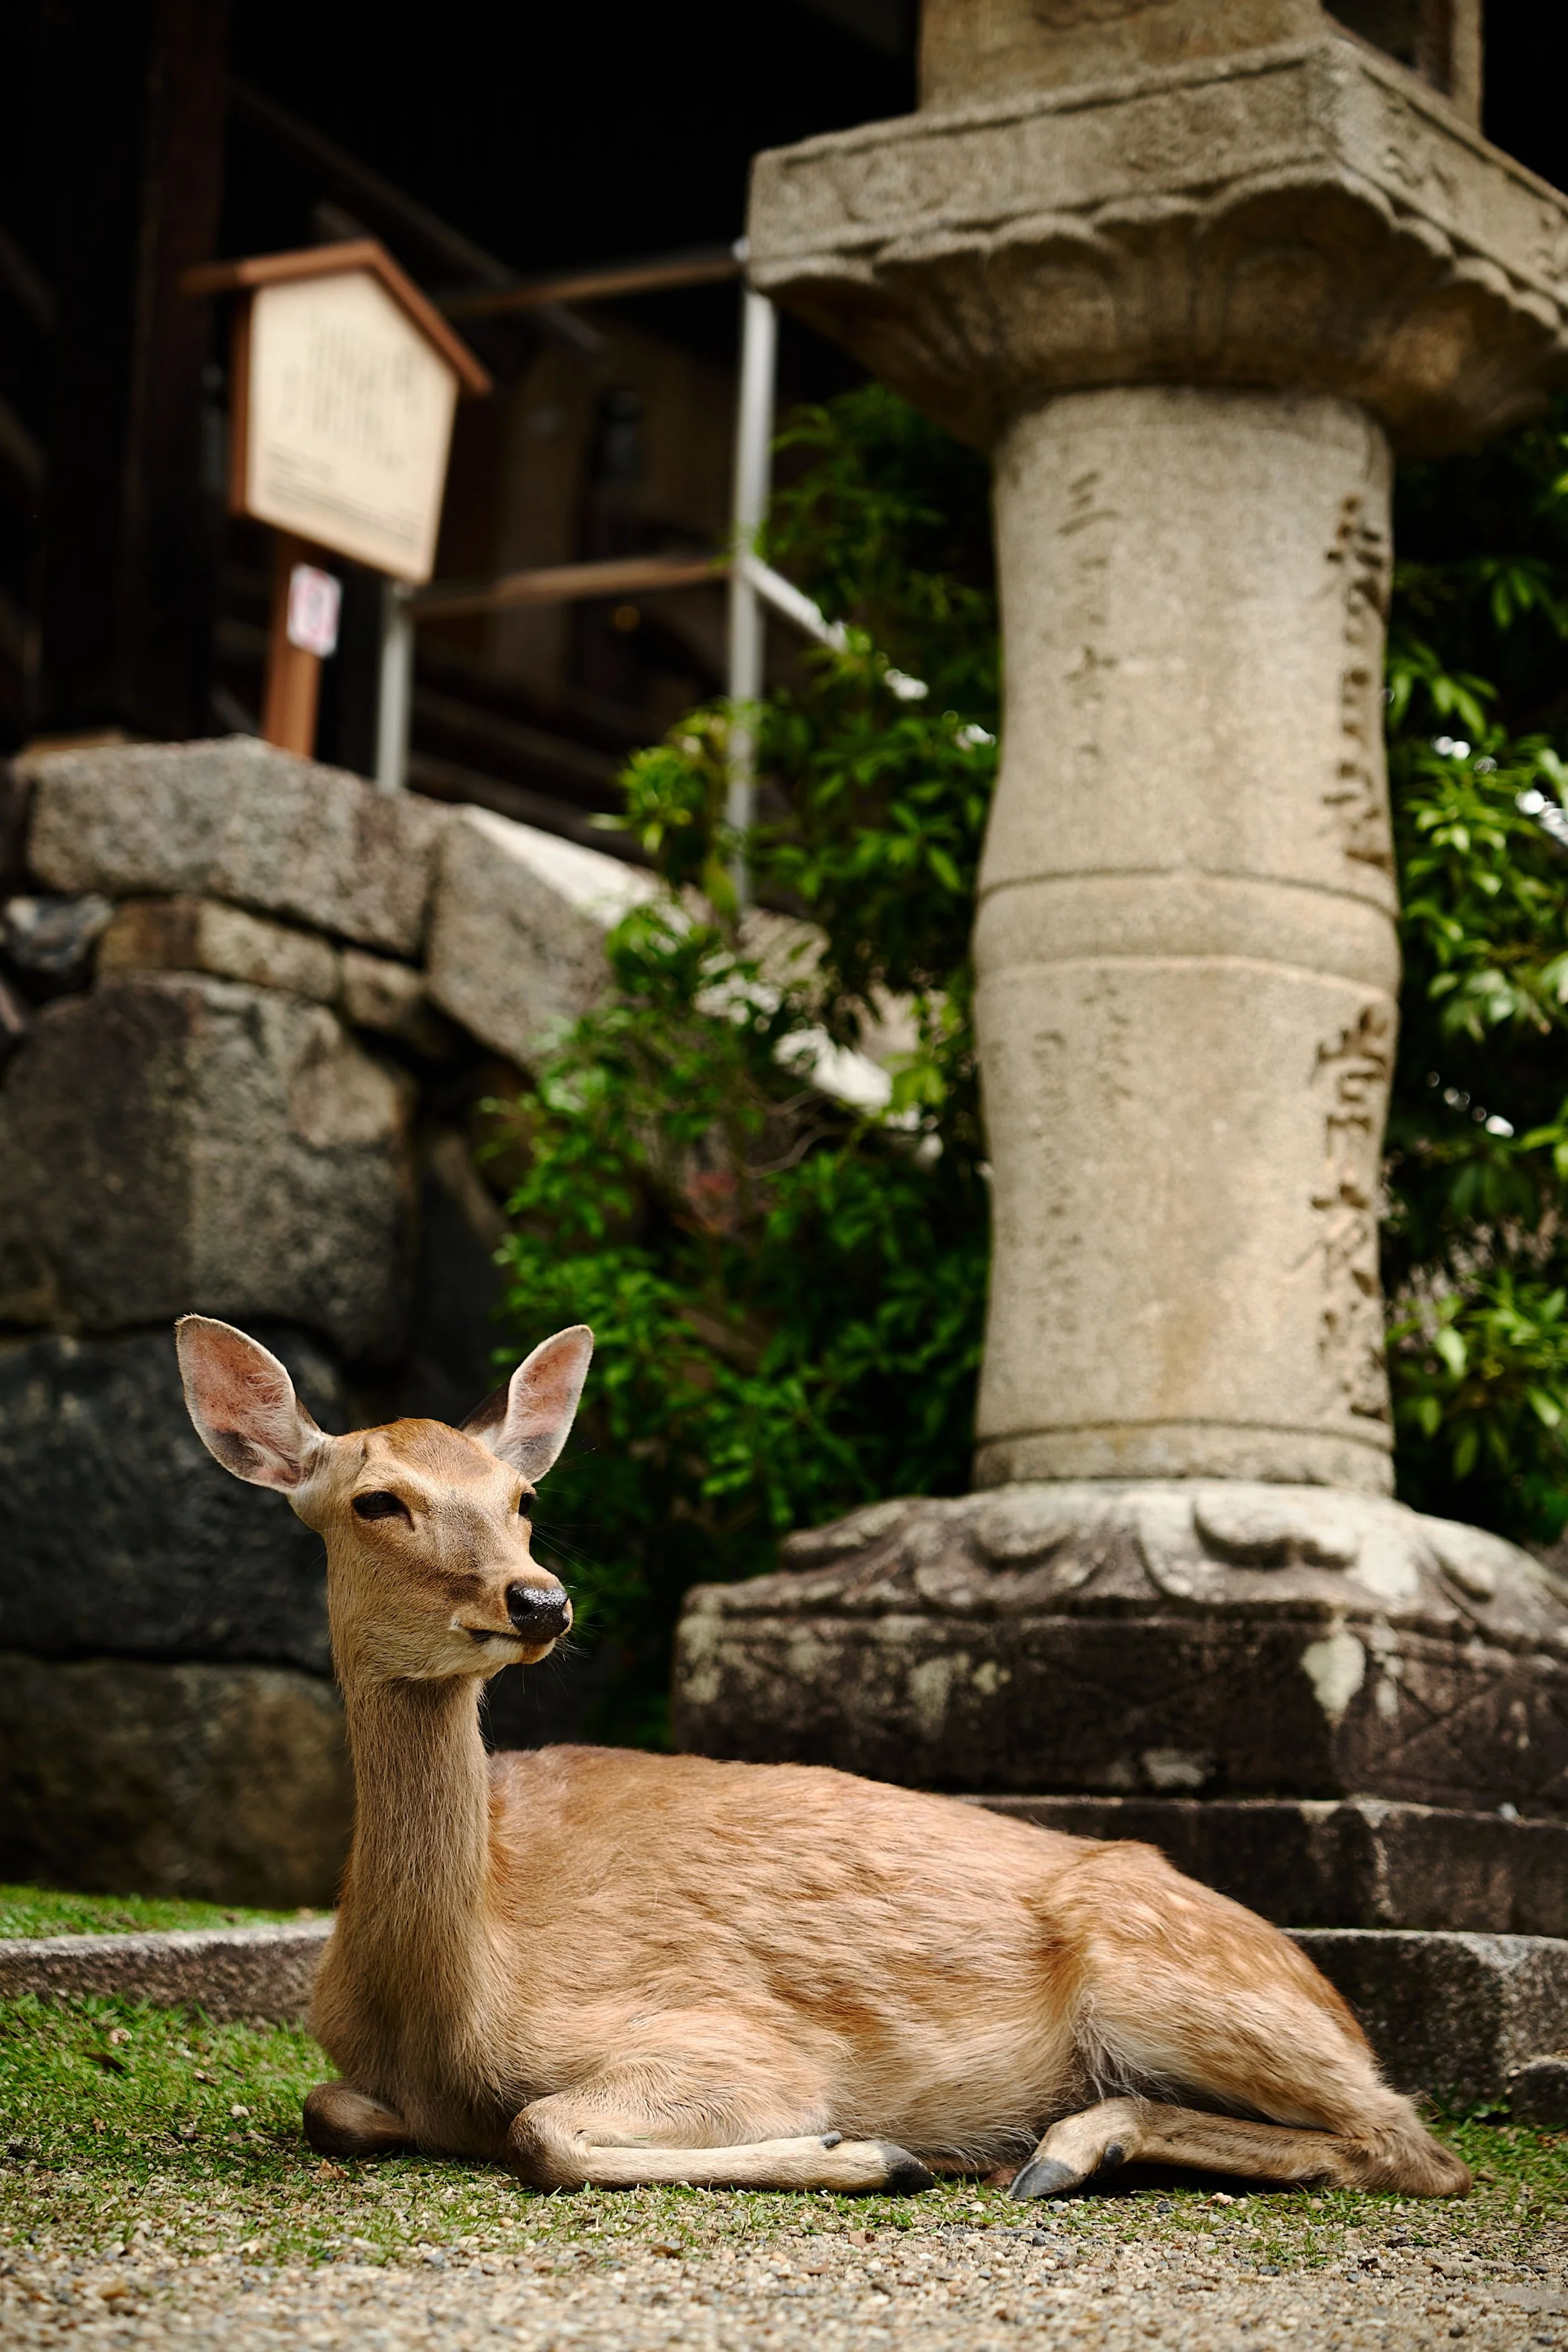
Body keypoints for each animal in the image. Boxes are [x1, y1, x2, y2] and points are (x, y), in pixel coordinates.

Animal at [175, 1312, 1469, 2201]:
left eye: (523, 1496)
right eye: (377, 1501)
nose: (539, 1598)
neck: (451, 2009)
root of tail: (1327, 1997)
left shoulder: (733, 2040)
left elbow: (540, 2131)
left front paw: (873, 2150)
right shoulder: (360, 2072)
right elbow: (333, 2107)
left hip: (1170, 1978)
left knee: (1415, 2143)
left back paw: (1053, 2150)